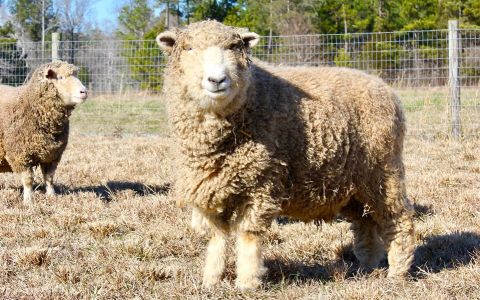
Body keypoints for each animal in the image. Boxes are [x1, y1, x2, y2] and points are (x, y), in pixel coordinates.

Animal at [0, 61, 88, 205]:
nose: (84, 92)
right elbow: (28, 180)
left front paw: (52, 196)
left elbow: (49, 178)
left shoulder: (52, 155)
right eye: (60, 77)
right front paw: (28, 201)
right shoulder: (20, 155)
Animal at [158, 19, 416, 290]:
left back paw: (397, 272)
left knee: (398, 219)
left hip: (383, 171)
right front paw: (211, 280)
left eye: (233, 47)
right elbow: (217, 238)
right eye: (188, 48)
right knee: (365, 223)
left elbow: (248, 236)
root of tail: (384, 87)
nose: (217, 80)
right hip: (352, 184)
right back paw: (368, 266)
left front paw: (247, 281)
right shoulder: (212, 186)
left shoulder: (262, 183)